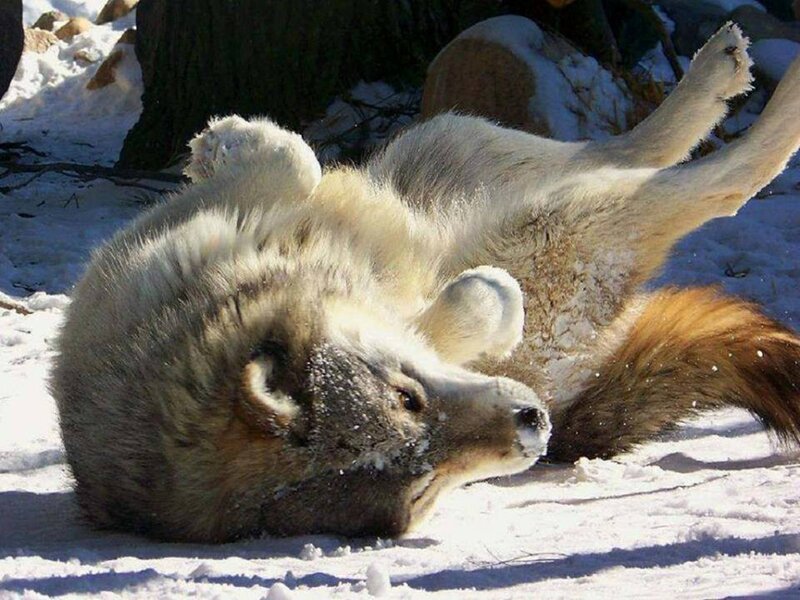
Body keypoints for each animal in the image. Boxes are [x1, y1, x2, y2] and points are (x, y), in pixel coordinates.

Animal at [52, 23, 800, 542]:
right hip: (560, 216)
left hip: (448, 143)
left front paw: (223, 140)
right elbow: (478, 295)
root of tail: (578, 408)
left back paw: (721, 71)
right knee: (715, 180)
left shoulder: (160, 244)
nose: (531, 426)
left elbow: (291, 162)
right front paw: (492, 300)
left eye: (408, 396)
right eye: (428, 485)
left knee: (620, 146)